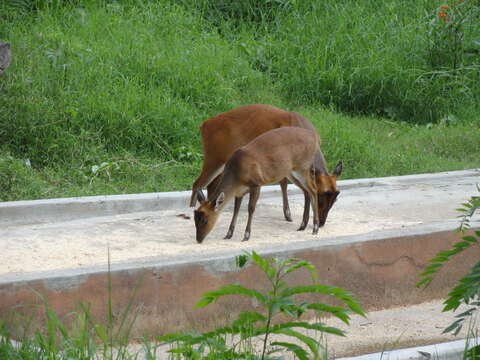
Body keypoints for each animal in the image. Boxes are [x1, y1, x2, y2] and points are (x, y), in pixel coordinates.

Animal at [188, 102, 342, 225]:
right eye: (322, 196)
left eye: (335, 198)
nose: (322, 222)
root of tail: (204, 125)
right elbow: (284, 183)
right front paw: (288, 214)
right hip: (214, 156)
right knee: (197, 183)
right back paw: (191, 211)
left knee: (211, 184)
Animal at [194, 126, 322, 242]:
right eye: (195, 219)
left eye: (205, 220)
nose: (199, 239)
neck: (237, 176)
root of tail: (315, 137)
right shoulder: (240, 191)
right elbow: (236, 210)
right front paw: (228, 234)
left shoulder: (256, 183)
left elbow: (251, 208)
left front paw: (246, 235)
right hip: (290, 172)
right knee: (306, 191)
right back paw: (302, 226)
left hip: (302, 167)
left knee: (313, 189)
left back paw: (315, 228)